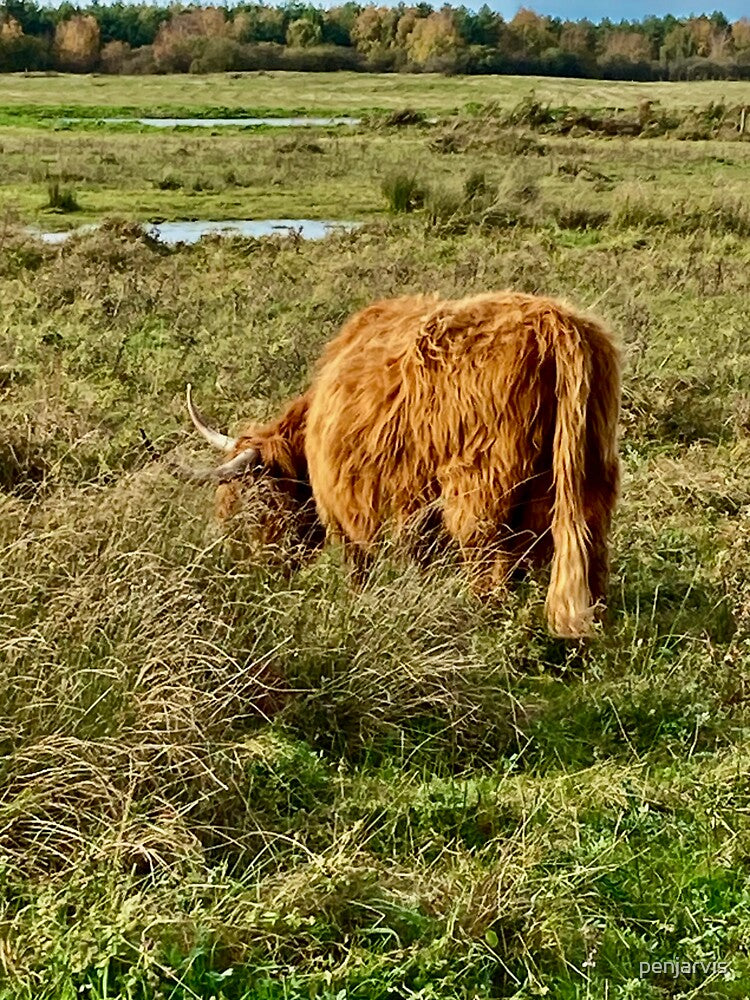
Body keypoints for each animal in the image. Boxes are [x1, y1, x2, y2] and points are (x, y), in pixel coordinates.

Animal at [180, 292, 621, 638]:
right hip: (590, 475)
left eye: (253, 506)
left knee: (489, 567)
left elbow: (362, 571)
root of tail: (554, 323)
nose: (248, 576)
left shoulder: (356, 511)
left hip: (479, 491)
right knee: (591, 556)